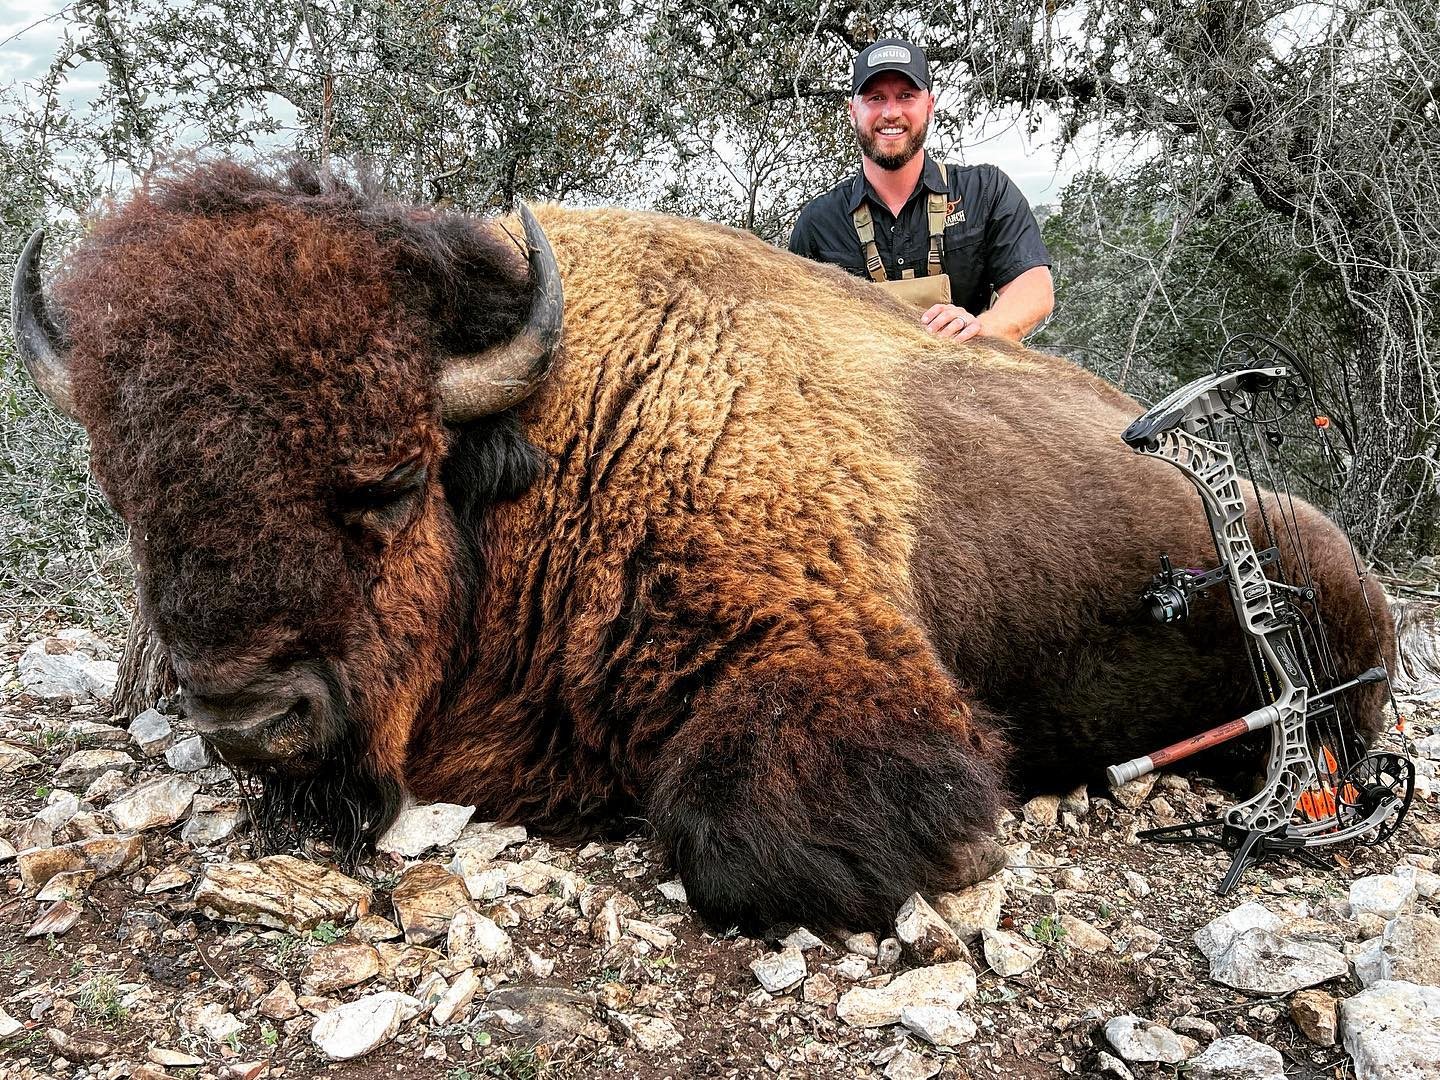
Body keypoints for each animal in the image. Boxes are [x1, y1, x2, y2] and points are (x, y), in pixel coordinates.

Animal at [12, 162, 1391, 932]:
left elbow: (746, 840)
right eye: (127, 495)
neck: (552, 432)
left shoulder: (841, 675)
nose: (249, 717)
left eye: (393, 482)